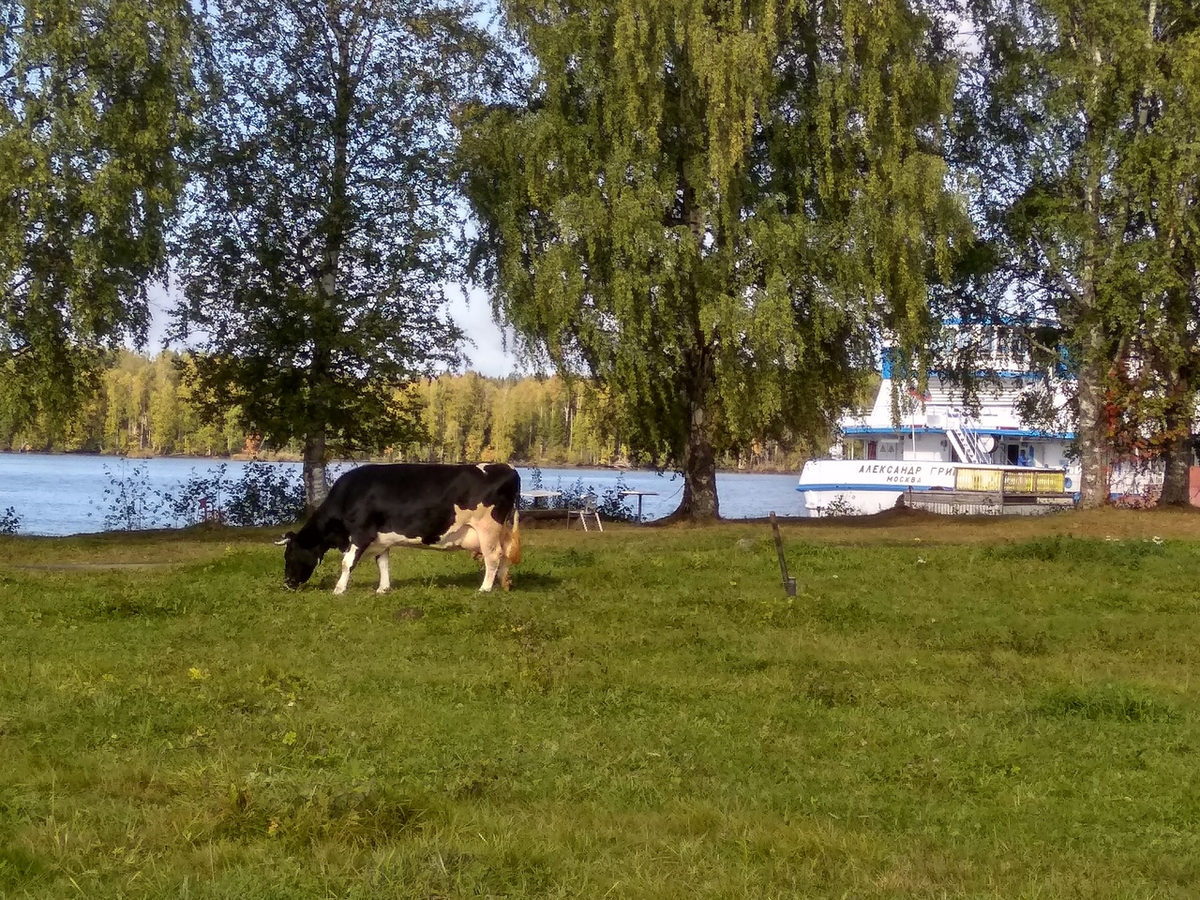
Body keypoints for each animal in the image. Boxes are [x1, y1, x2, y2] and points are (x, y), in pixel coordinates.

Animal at [280, 465, 525, 600]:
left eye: (289, 555)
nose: (287, 583)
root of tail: (508, 468)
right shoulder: (380, 539)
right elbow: (383, 563)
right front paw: (383, 589)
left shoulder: (361, 533)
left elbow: (347, 563)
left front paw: (339, 590)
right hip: (500, 530)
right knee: (504, 552)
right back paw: (503, 583)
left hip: (488, 528)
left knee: (492, 557)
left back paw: (485, 588)